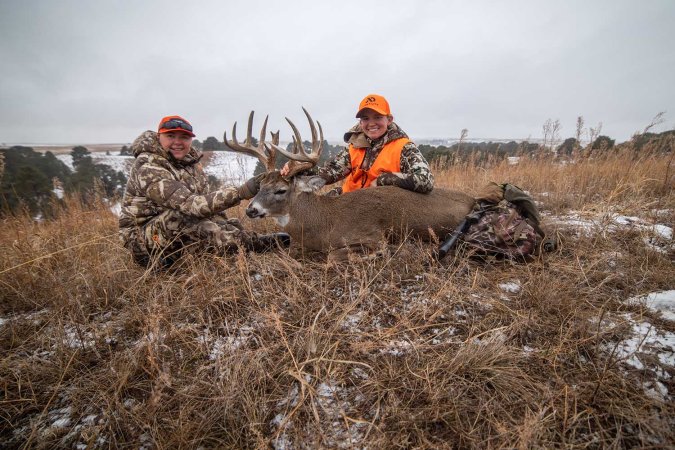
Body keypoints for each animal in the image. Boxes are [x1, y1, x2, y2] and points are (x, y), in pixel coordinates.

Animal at [224, 107, 478, 260]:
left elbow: (334, 256)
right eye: (260, 186)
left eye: (281, 190)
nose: (251, 209)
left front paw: (380, 254)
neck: (325, 223)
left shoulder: (372, 235)